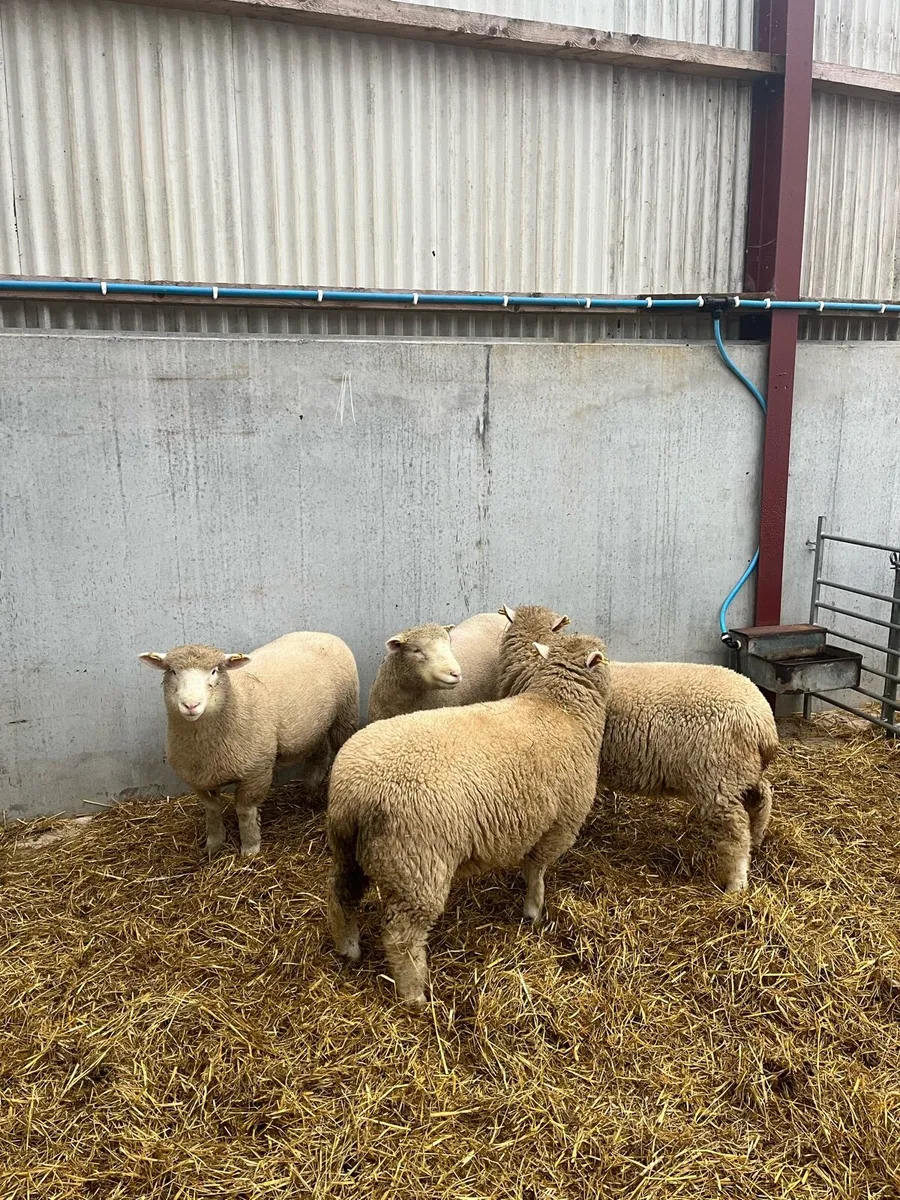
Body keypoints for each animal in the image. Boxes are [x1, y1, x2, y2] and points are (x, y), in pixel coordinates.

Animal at [139, 632, 358, 857]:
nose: (191, 705)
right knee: (321, 754)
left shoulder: (256, 771)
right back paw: (309, 788)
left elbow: (245, 811)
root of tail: (320, 633)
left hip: (345, 714)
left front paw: (250, 848)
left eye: (214, 671)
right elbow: (212, 810)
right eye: (173, 671)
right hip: (315, 727)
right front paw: (213, 844)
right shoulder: (198, 779)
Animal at [327, 633, 612, 1005]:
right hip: (416, 865)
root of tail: (354, 792)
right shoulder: (560, 823)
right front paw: (533, 911)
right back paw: (414, 996)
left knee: (340, 895)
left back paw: (349, 949)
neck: (559, 708)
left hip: (347, 849)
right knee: (402, 938)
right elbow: (536, 869)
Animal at [498, 607, 778, 892]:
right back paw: (757, 839)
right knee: (763, 795)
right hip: (740, 771)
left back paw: (736, 883)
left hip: (717, 776)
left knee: (736, 829)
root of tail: (763, 721)